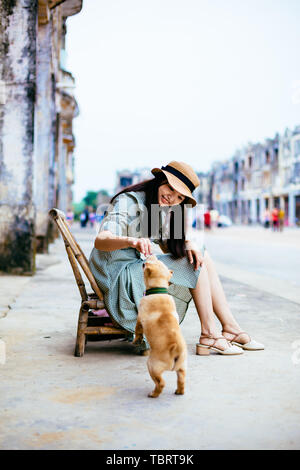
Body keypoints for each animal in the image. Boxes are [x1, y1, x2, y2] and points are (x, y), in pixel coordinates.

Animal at [133, 255, 186, 398]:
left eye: (146, 264)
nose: (151, 254)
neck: (159, 290)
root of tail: (176, 349)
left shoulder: (139, 318)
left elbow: (137, 330)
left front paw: (136, 340)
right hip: (182, 367)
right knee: (181, 379)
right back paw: (179, 391)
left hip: (152, 365)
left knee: (161, 383)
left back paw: (153, 394)